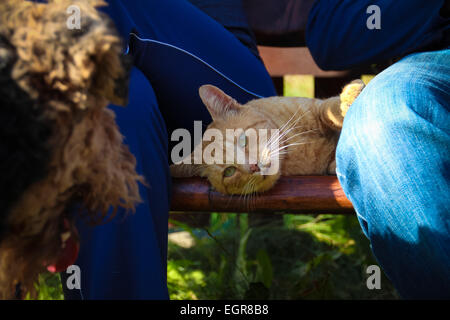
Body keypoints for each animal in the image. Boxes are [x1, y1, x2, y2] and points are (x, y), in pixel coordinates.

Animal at [171, 80, 364, 195]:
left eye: (243, 140)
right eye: (229, 171)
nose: (254, 166)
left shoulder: (316, 107)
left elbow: (328, 109)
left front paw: (350, 96)